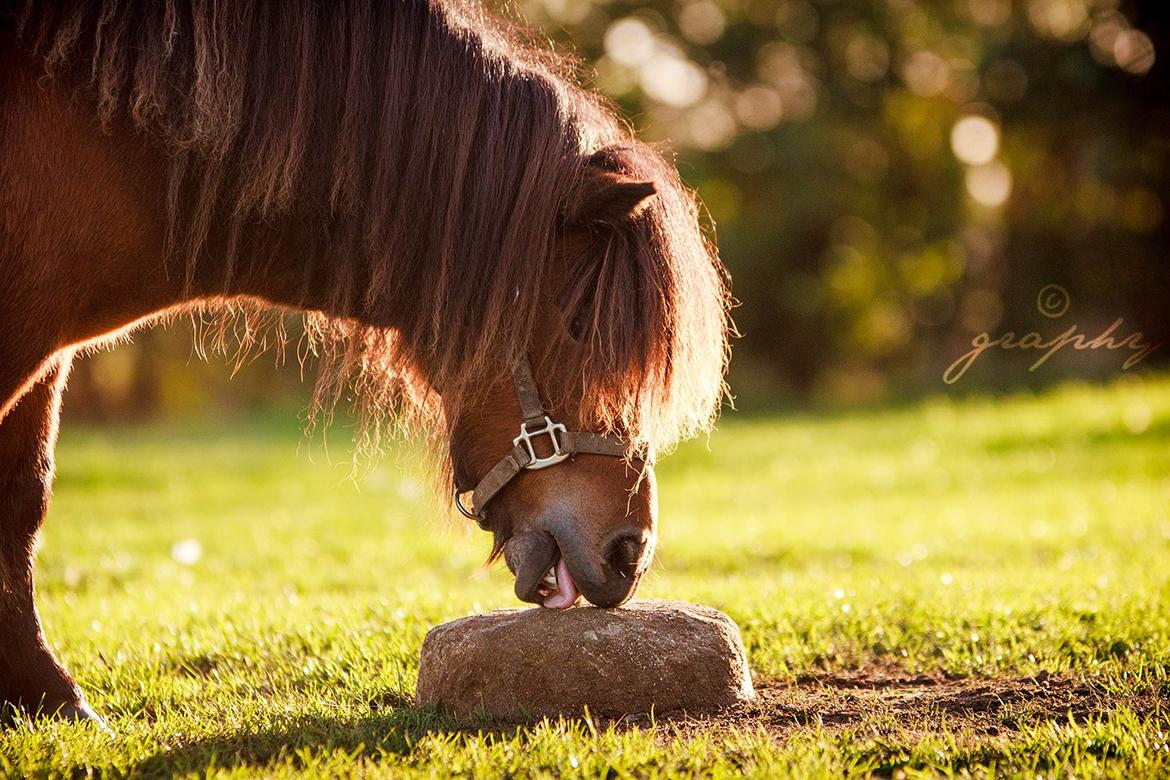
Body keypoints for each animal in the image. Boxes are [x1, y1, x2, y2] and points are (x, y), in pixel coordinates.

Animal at [0, 0, 725, 725]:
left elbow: (25, 497)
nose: (631, 551)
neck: (112, 140)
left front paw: (50, 698)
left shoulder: (47, 361)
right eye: (582, 327)